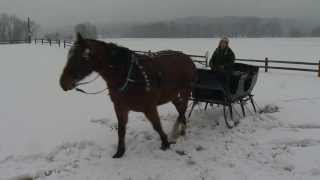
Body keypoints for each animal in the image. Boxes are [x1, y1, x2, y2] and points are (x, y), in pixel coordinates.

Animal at [58, 33, 196, 158]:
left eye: (82, 57)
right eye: (69, 55)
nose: (63, 83)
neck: (130, 75)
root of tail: (187, 58)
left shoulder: (149, 108)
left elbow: (157, 126)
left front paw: (165, 143)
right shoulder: (120, 108)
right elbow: (121, 129)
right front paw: (120, 152)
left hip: (185, 90)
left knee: (183, 108)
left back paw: (181, 130)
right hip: (172, 94)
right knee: (180, 108)